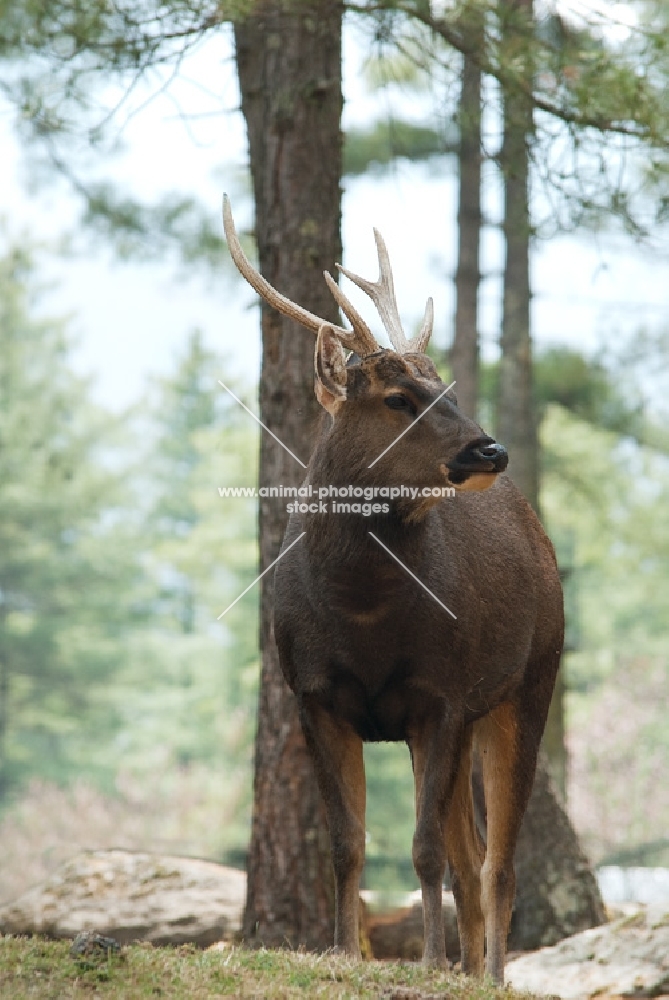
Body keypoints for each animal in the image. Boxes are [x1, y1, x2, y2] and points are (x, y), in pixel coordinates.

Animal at [222, 197, 560, 984]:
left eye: (447, 387)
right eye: (397, 396)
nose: (490, 449)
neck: (363, 614)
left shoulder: (441, 695)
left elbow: (424, 849)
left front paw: (430, 963)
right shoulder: (312, 695)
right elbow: (348, 842)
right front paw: (343, 952)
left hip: (529, 682)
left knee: (496, 861)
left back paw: (488, 976)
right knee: (474, 853)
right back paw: (471, 968)